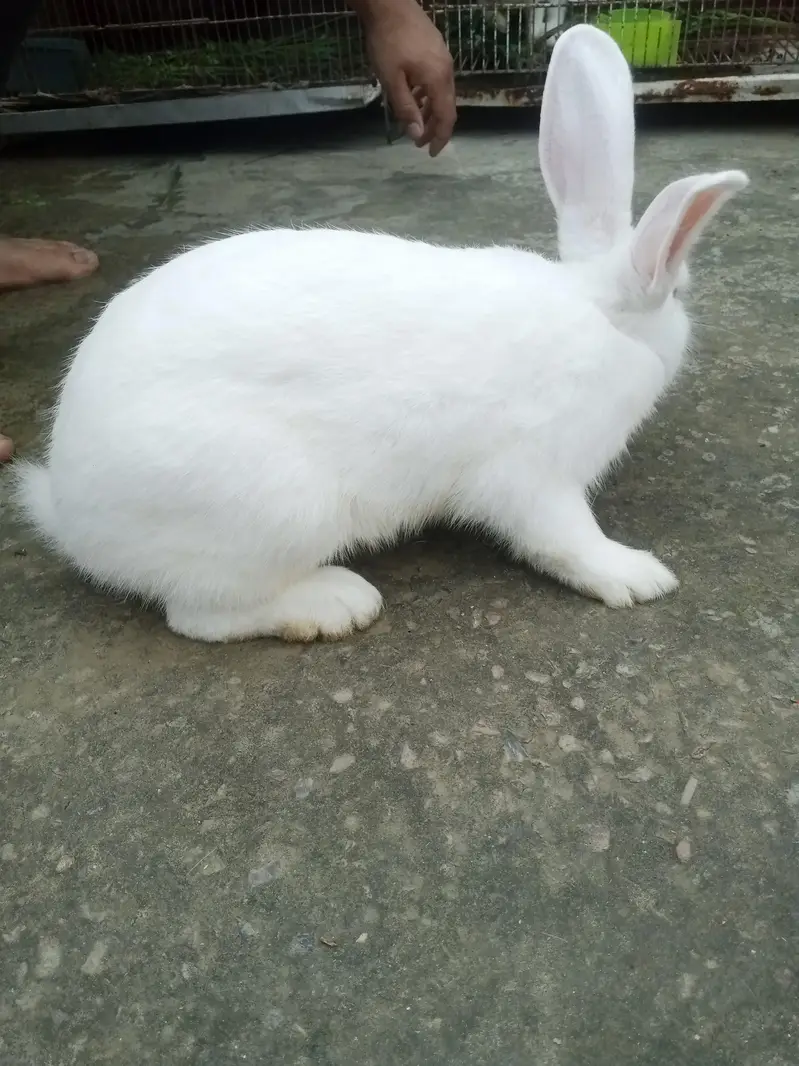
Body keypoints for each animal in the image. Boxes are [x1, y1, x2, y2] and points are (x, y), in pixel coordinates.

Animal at [12, 25, 748, 644]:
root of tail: (75, 522)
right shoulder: (532, 472)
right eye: (677, 292)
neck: (598, 314)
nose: (687, 325)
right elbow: (562, 537)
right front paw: (636, 576)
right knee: (202, 615)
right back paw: (334, 604)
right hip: (279, 508)